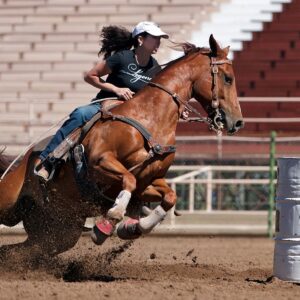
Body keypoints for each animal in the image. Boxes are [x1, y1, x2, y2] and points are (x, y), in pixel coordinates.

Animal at [0, 34, 244, 255]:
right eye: (228, 78)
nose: (238, 121)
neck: (150, 119)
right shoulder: (101, 162)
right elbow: (128, 179)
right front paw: (109, 223)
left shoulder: (148, 181)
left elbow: (169, 196)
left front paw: (134, 227)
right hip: (9, 201)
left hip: (58, 229)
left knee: (22, 250)